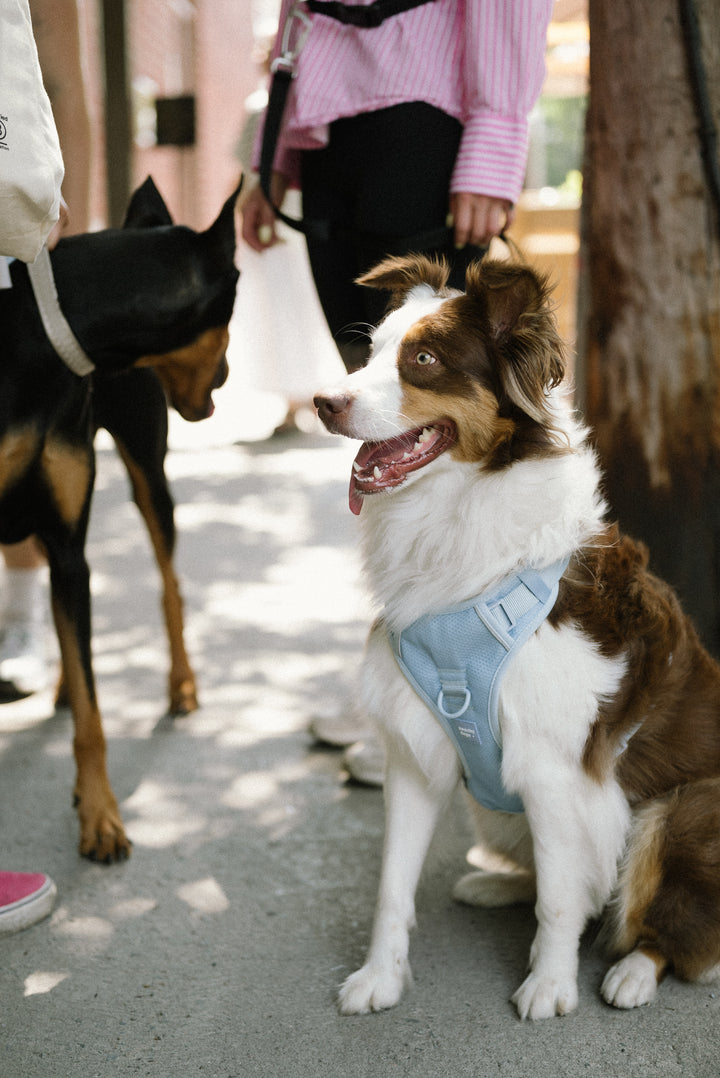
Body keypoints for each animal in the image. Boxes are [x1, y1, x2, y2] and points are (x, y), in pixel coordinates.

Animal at [0, 178, 241, 866]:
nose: (226, 376)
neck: (42, 331)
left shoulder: (67, 538)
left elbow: (93, 714)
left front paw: (101, 817)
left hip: (147, 471)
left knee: (168, 583)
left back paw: (180, 685)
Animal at [316, 254, 719, 1017]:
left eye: (423, 360)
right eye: (371, 351)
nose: (323, 401)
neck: (455, 522)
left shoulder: (556, 767)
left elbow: (560, 903)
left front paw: (550, 987)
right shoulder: (415, 751)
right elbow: (392, 888)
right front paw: (380, 976)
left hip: (679, 811)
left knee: (678, 930)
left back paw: (634, 970)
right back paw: (495, 882)